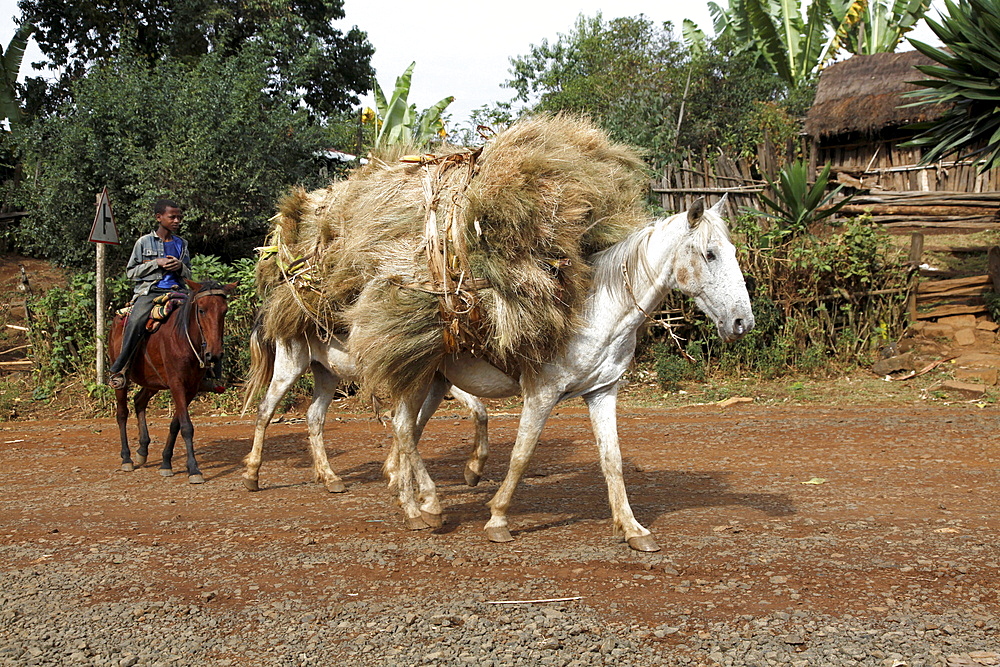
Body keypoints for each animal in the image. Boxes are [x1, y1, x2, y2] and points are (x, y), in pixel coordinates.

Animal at [109, 280, 236, 482]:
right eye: (201, 310)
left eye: (224, 310)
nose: (214, 354)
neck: (183, 339)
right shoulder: (177, 384)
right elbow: (186, 426)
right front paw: (194, 469)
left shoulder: (190, 388)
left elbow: (176, 425)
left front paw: (166, 462)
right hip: (122, 378)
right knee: (122, 413)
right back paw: (127, 458)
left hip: (152, 381)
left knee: (139, 401)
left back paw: (142, 450)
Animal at [243, 332, 492, 504]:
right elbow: (410, 423)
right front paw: (395, 475)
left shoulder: (440, 379)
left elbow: (476, 411)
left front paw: (473, 470)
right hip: (289, 367)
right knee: (265, 410)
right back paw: (252, 475)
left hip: (326, 372)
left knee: (314, 416)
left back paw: (329, 477)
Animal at [382, 198, 752, 552]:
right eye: (709, 253)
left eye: (733, 251)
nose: (742, 322)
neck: (595, 312)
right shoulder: (541, 393)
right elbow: (521, 455)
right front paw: (498, 519)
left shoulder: (602, 391)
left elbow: (612, 459)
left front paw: (633, 529)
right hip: (415, 378)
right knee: (403, 428)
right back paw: (425, 506)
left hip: (435, 381)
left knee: (410, 430)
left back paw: (416, 501)